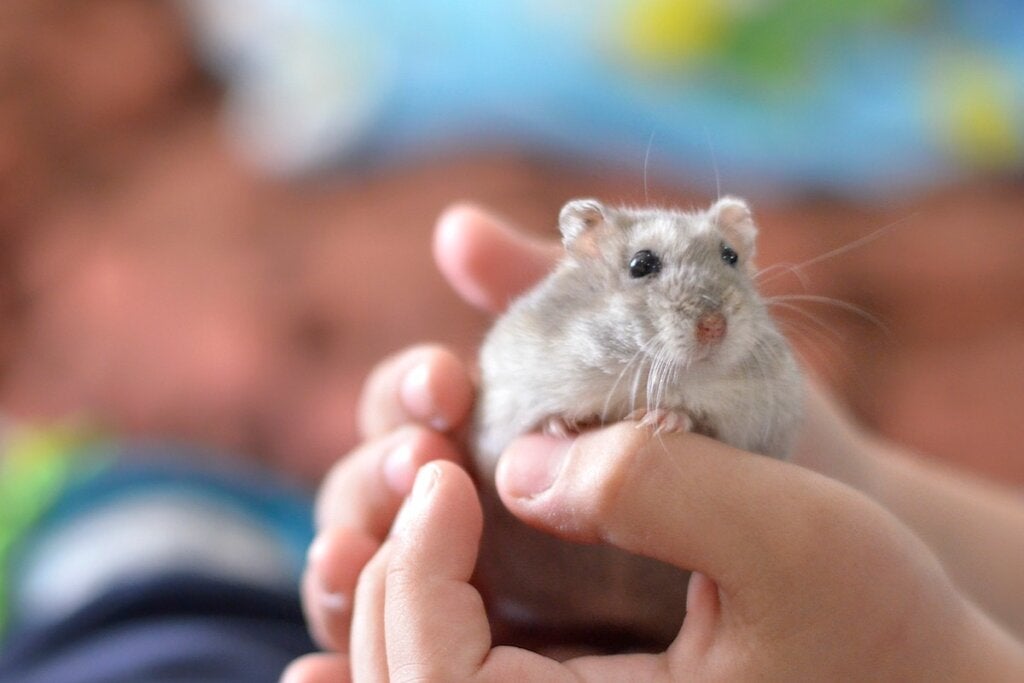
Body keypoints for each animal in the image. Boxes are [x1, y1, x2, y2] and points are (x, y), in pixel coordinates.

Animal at [471, 196, 803, 649]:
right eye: (641, 264)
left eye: (730, 256)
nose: (714, 326)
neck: (644, 368)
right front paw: (564, 426)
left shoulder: (759, 424)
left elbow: (705, 422)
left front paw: (661, 418)